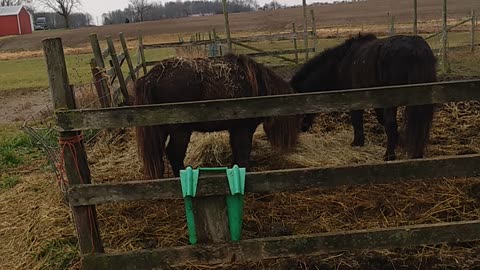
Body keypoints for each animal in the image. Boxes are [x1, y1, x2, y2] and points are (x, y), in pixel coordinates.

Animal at [133, 53, 302, 179]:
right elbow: (243, 151)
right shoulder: (243, 128)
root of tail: (151, 77)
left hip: (159, 130)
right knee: (174, 154)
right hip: (180, 131)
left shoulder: (235, 129)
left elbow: (237, 150)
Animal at [290, 33, 436, 160]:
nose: (302, 128)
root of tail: (417, 48)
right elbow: (380, 120)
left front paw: (357, 142)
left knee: (392, 124)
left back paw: (389, 156)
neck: (340, 64)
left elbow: (357, 120)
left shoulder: (355, 99)